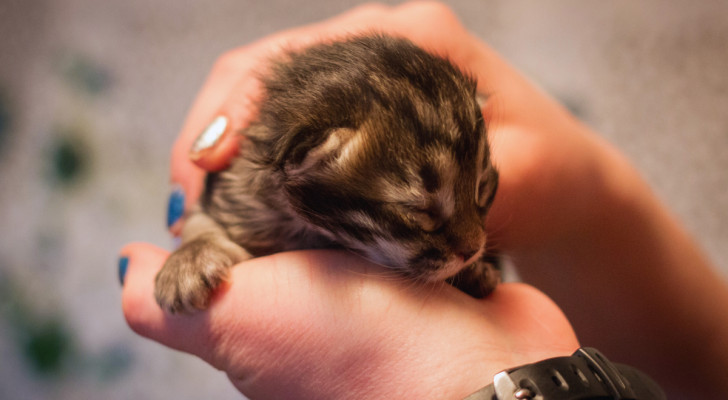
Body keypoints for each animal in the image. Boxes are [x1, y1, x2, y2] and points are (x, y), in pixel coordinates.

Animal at [156, 34, 498, 314]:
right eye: (419, 210)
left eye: (482, 188)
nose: (472, 251)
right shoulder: (234, 192)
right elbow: (198, 218)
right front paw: (189, 259)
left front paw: (474, 274)